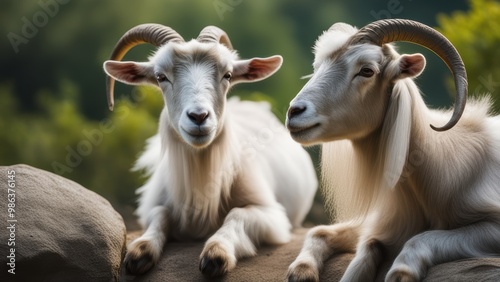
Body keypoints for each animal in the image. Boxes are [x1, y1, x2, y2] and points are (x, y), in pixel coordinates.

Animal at [101, 24, 316, 278]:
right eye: (161, 77)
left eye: (228, 75)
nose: (199, 116)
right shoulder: (153, 204)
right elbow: (160, 214)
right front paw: (140, 250)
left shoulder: (273, 216)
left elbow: (237, 214)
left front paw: (216, 254)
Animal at [286, 18, 500, 280]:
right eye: (317, 66)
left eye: (366, 70)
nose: (294, 111)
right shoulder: (385, 222)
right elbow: (351, 241)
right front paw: (302, 270)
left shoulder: (492, 228)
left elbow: (420, 239)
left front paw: (401, 272)